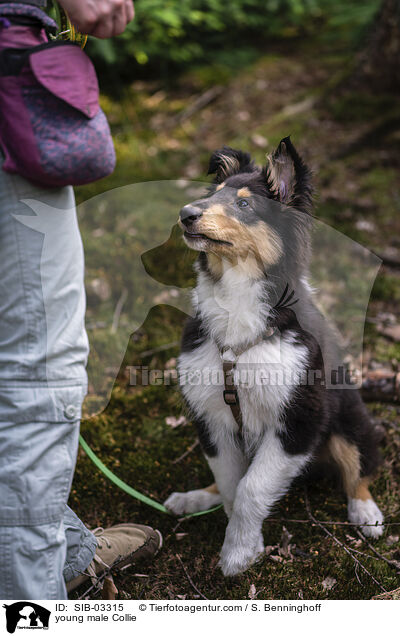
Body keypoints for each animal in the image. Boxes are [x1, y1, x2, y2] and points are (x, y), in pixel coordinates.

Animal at [163, 138, 384, 576]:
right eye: (213, 195)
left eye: (245, 205)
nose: (185, 214)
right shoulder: (212, 415)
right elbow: (232, 483)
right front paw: (243, 541)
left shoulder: (299, 419)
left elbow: (252, 487)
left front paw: (237, 553)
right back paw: (194, 497)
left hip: (349, 418)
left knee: (359, 468)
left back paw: (365, 513)